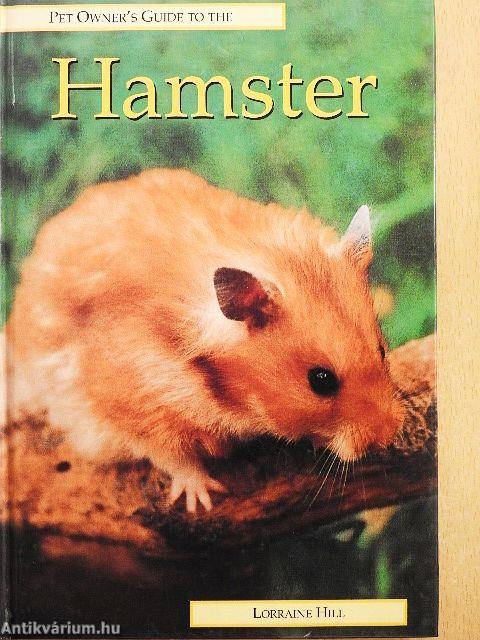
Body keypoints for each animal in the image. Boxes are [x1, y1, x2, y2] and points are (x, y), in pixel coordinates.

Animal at [6, 169, 405, 513]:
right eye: (320, 381)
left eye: (381, 350)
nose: (389, 436)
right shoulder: (136, 402)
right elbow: (171, 455)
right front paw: (203, 496)